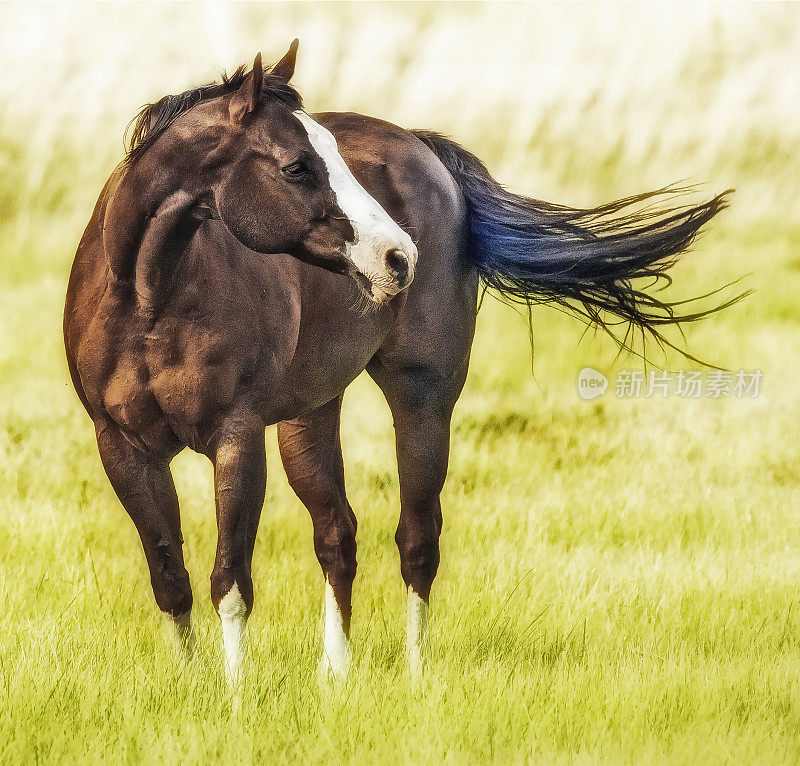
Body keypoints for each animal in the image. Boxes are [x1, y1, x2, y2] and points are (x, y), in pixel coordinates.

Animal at [62, 40, 736, 684]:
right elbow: (169, 575)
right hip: (311, 413)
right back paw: (335, 673)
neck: (149, 303)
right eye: (297, 166)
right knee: (337, 532)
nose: (397, 257)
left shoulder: (236, 438)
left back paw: (415, 671)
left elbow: (230, 579)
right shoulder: (123, 446)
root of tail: (426, 152)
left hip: (423, 398)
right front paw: (193, 684)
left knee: (418, 536)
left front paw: (233, 697)